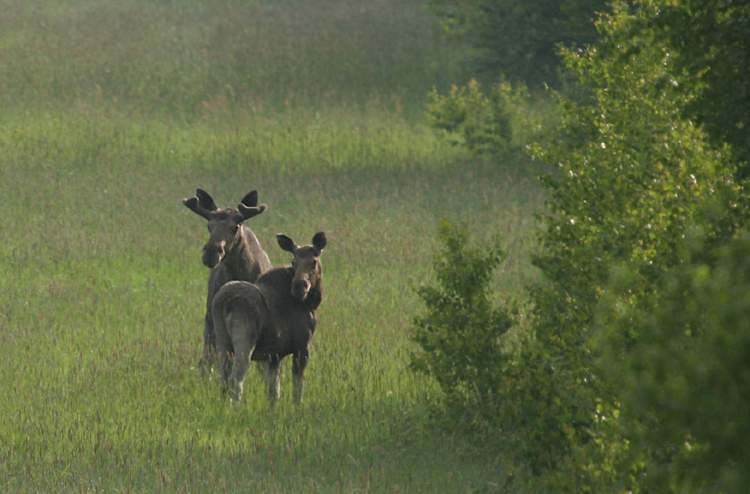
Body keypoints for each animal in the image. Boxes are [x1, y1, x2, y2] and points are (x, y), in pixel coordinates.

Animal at [213, 233, 328, 404]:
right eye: (293, 262)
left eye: (313, 262)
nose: (298, 286)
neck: (311, 304)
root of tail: (224, 304)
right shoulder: (302, 346)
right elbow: (297, 388)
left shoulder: (275, 355)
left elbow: (274, 392)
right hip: (244, 340)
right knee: (236, 378)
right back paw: (235, 407)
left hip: (222, 340)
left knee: (224, 378)